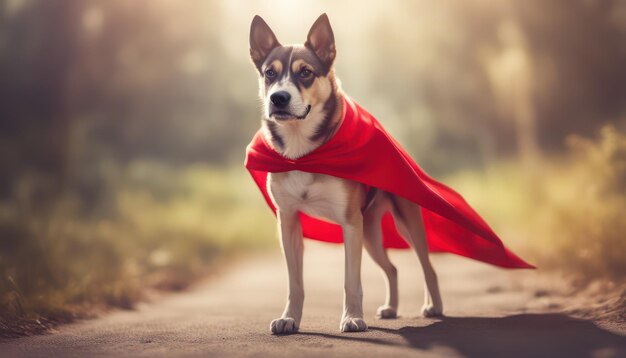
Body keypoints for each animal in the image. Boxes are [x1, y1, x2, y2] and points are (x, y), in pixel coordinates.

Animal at [246, 13, 442, 332]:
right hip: (370, 232)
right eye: (269, 73)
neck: (304, 156)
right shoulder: (288, 222)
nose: (278, 98)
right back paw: (391, 307)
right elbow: (294, 282)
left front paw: (352, 318)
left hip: (405, 223)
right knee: (393, 268)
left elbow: (351, 280)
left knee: (428, 267)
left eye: (306, 72)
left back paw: (434, 306)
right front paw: (289, 318)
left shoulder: (350, 224)